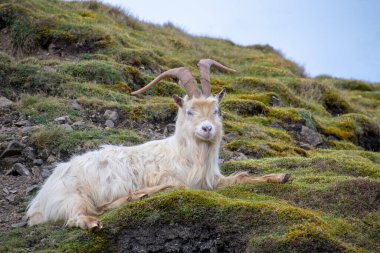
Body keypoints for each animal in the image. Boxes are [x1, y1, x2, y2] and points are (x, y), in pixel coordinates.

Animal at [26, 59, 290, 229]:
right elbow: (180, 186)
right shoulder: (172, 177)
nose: (207, 128)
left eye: (216, 110)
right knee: (78, 216)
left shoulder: (212, 180)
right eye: (190, 111)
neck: (186, 154)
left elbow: (241, 178)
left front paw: (281, 177)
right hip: (74, 196)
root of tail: (38, 202)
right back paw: (101, 219)